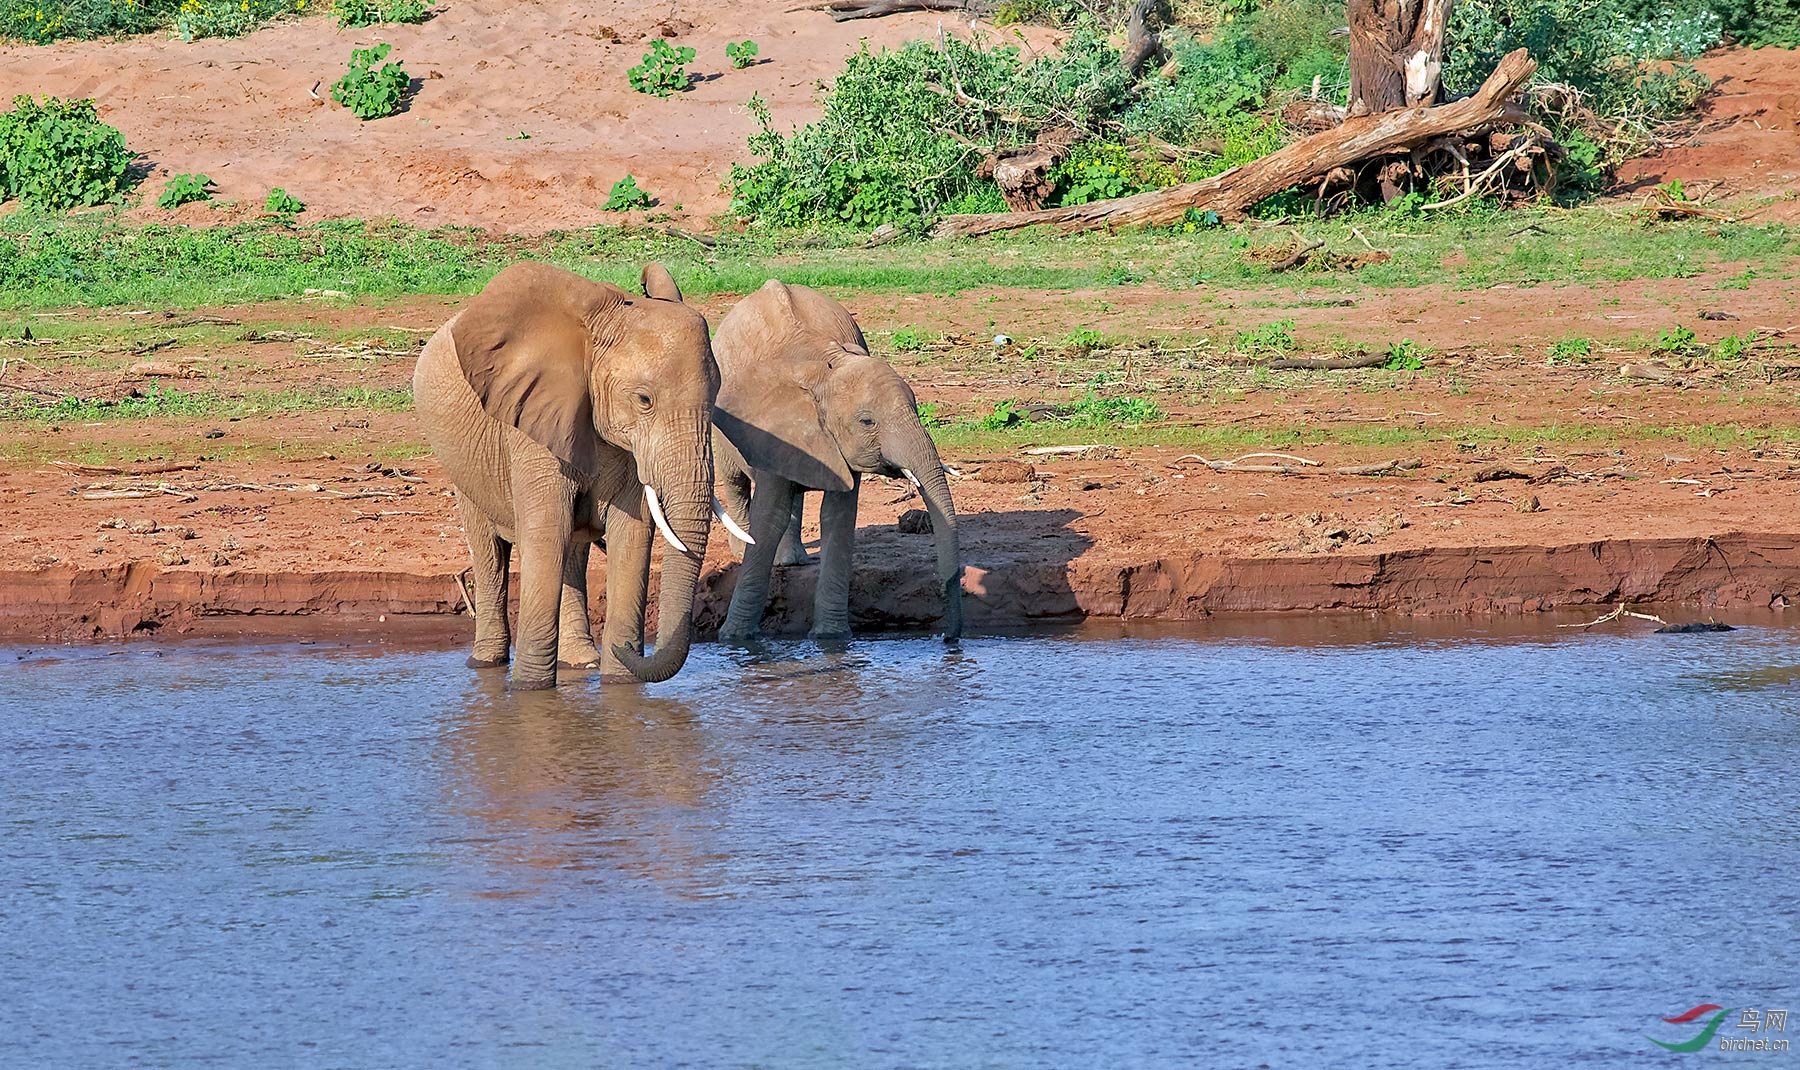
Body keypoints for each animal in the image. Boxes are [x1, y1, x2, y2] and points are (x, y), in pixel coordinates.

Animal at [412, 262, 741, 688]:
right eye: (644, 400)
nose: (629, 647)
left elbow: (632, 537)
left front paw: (620, 683)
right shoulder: (532, 426)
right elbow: (546, 531)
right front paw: (530, 690)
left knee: (572, 552)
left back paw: (582, 663)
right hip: (463, 464)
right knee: (490, 553)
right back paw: (487, 663)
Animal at [709, 277, 964, 641]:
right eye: (867, 421)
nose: (947, 638)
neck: (823, 368)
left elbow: (838, 517)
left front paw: (831, 639)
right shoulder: (770, 425)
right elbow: (769, 517)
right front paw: (734, 639)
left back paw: (793, 560)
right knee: (735, 479)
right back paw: (748, 551)